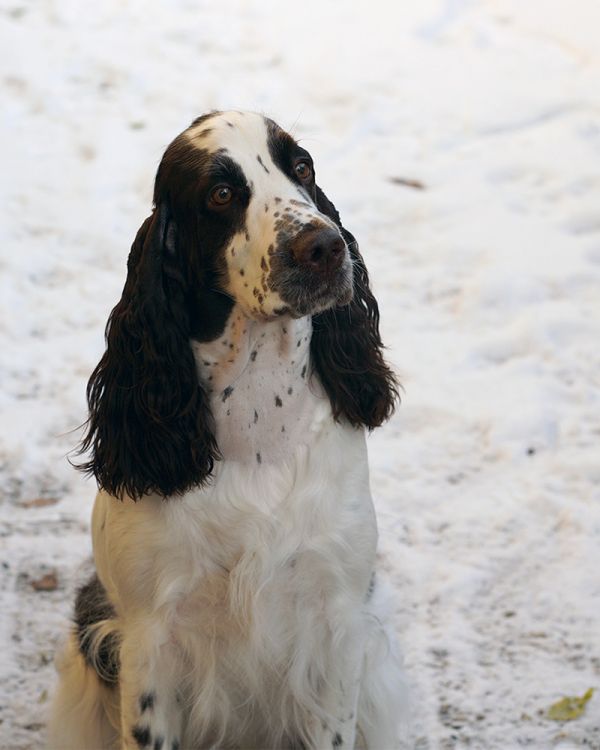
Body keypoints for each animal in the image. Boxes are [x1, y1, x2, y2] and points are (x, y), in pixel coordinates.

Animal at [49, 111, 406, 750]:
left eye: (302, 167)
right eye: (220, 194)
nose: (325, 247)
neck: (260, 429)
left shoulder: (335, 623)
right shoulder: (150, 638)